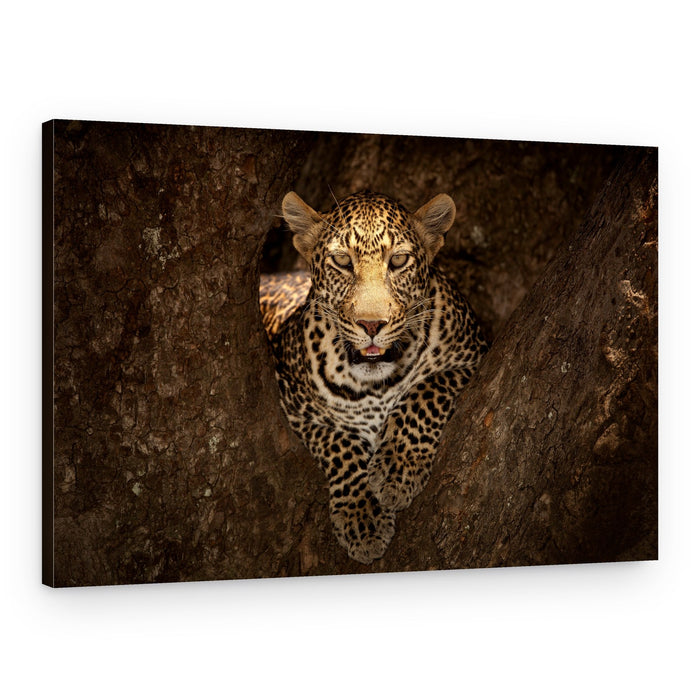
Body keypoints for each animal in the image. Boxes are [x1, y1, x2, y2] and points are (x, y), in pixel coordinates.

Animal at [259, 190, 488, 564]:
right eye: (341, 261)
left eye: (398, 261)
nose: (371, 325)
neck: (375, 385)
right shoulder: (294, 407)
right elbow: (339, 443)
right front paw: (362, 518)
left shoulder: (472, 358)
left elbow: (425, 391)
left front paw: (397, 470)